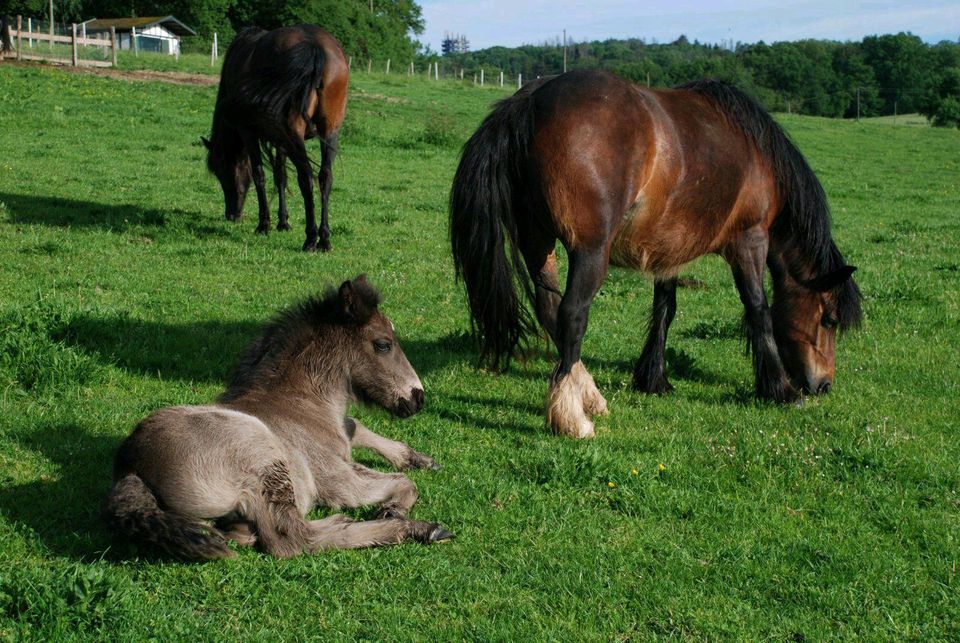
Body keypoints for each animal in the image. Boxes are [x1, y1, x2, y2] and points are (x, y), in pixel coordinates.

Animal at [101, 280, 454, 560]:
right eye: (383, 344)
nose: (418, 398)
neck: (302, 405)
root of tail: (130, 465)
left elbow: (354, 426)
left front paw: (417, 458)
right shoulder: (336, 477)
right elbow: (401, 482)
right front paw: (395, 508)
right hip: (263, 461)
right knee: (292, 539)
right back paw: (415, 528)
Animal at [202, 24, 348, 252]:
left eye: (221, 171)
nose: (232, 215)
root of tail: (314, 45)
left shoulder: (249, 133)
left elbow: (259, 174)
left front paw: (264, 224)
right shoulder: (280, 139)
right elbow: (281, 175)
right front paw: (283, 222)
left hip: (294, 132)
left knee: (306, 177)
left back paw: (310, 238)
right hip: (330, 131)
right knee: (325, 177)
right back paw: (324, 239)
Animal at [450, 73, 864, 440]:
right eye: (828, 319)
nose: (824, 385)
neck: (756, 155)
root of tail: (528, 102)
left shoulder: (671, 250)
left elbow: (666, 309)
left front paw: (653, 378)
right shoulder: (750, 240)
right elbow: (759, 310)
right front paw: (778, 388)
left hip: (538, 242)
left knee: (549, 308)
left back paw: (589, 395)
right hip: (590, 252)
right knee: (571, 315)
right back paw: (572, 418)